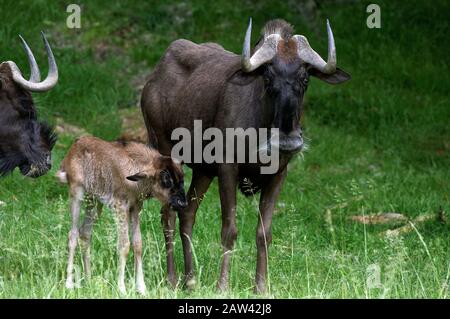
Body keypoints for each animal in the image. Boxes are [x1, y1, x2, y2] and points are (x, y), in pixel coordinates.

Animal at [57, 136, 187, 296]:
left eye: (182, 177)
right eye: (166, 178)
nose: (182, 203)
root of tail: (73, 148)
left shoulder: (135, 208)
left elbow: (138, 244)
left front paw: (141, 288)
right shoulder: (120, 207)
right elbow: (124, 246)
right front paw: (122, 288)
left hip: (94, 202)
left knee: (85, 233)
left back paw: (88, 280)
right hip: (77, 194)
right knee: (73, 234)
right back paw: (69, 284)